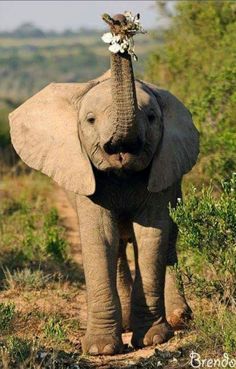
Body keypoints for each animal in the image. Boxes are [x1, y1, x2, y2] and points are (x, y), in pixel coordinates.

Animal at [8, 15, 199, 356]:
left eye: (152, 118)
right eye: (90, 120)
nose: (120, 23)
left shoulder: (162, 167)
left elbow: (152, 235)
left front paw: (153, 339)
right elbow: (100, 236)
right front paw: (100, 349)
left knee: (167, 238)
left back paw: (178, 319)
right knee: (120, 246)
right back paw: (124, 325)